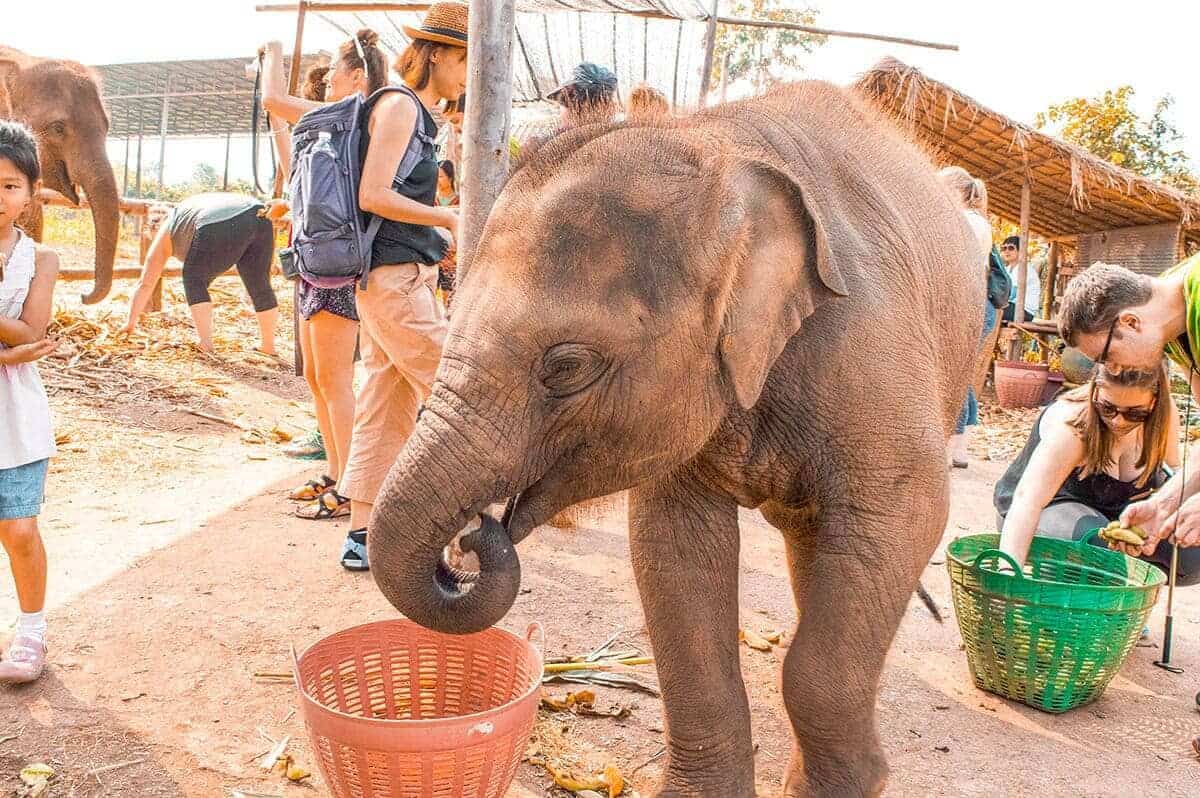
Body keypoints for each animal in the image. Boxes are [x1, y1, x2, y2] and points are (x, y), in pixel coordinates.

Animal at [369, 79, 983, 797]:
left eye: (566, 366)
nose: (473, 540)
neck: (719, 147)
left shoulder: (870, 347)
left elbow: (908, 516)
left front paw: (856, 783)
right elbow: (673, 550)